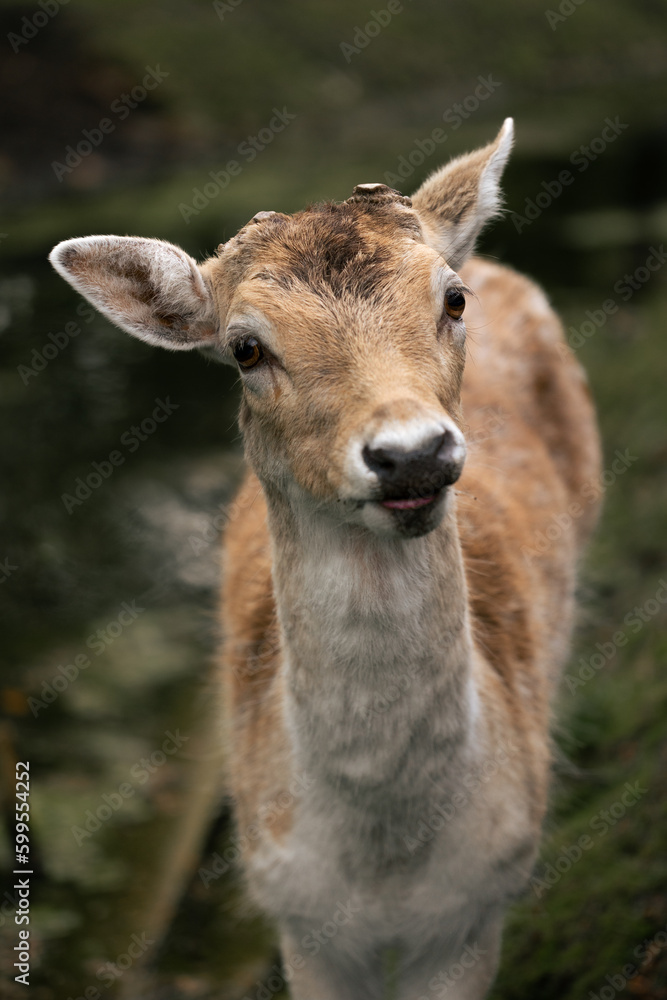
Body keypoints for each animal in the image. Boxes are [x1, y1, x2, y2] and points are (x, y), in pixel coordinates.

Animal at [51, 119, 604, 1000]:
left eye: (451, 300)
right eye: (244, 348)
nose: (411, 453)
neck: (384, 870)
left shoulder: (479, 905)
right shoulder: (296, 916)